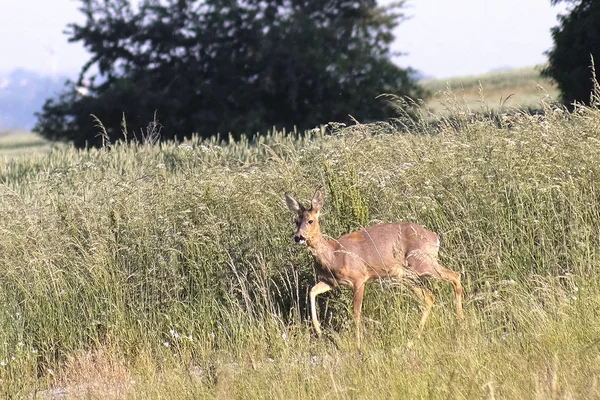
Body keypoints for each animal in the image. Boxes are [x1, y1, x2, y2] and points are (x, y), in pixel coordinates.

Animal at [286, 189, 464, 346]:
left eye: (310, 221)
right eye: (296, 221)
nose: (298, 237)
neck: (333, 255)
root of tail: (435, 237)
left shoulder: (359, 278)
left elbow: (356, 313)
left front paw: (358, 346)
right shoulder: (332, 282)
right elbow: (312, 291)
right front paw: (318, 330)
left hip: (422, 263)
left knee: (455, 276)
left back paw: (460, 324)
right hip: (406, 275)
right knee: (429, 297)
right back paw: (412, 341)